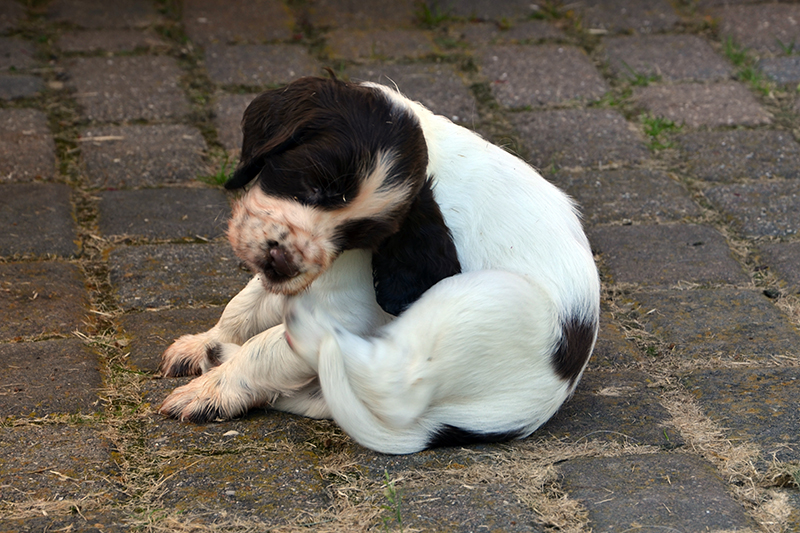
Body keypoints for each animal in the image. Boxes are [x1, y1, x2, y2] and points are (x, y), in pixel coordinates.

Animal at [159, 76, 600, 454]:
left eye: (356, 237)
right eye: (314, 185)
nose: (283, 262)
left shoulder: (347, 309)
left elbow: (265, 349)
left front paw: (211, 390)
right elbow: (244, 305)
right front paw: (204, 342)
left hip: (484, 298)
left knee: (383, 381)